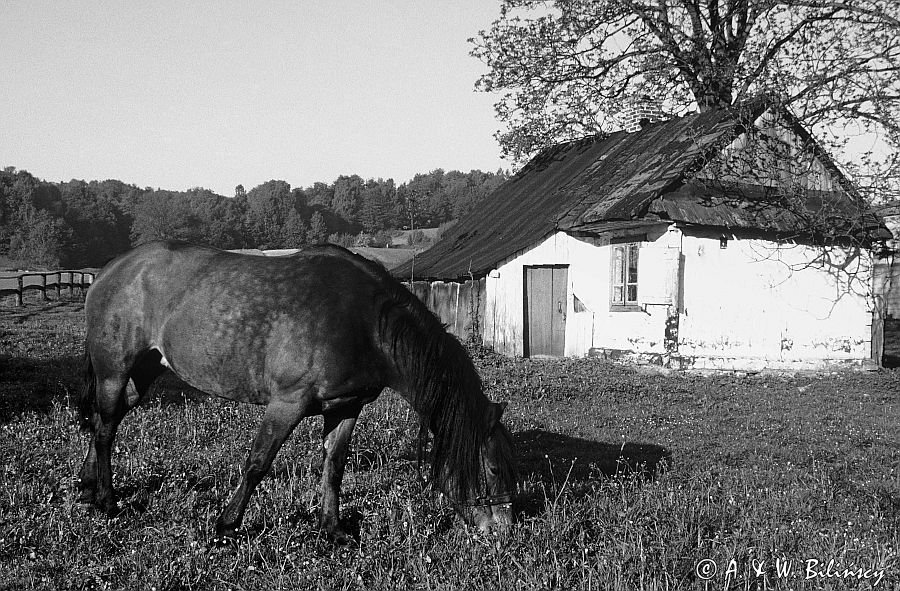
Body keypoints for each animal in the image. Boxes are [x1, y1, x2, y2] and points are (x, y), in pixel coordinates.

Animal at [79, 240, 512, 540]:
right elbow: (258, 463)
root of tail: (110, 270)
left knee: (106, 422)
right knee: (105, 429)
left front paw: (332, 530)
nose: (502, 529)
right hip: (115, 371)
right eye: (493, 468)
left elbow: (334, 467)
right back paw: (107, 501)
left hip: (143, 373)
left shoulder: (345, 408)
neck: (365, 322)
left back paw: (87, 487)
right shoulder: (288, 403)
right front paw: (226, 525)